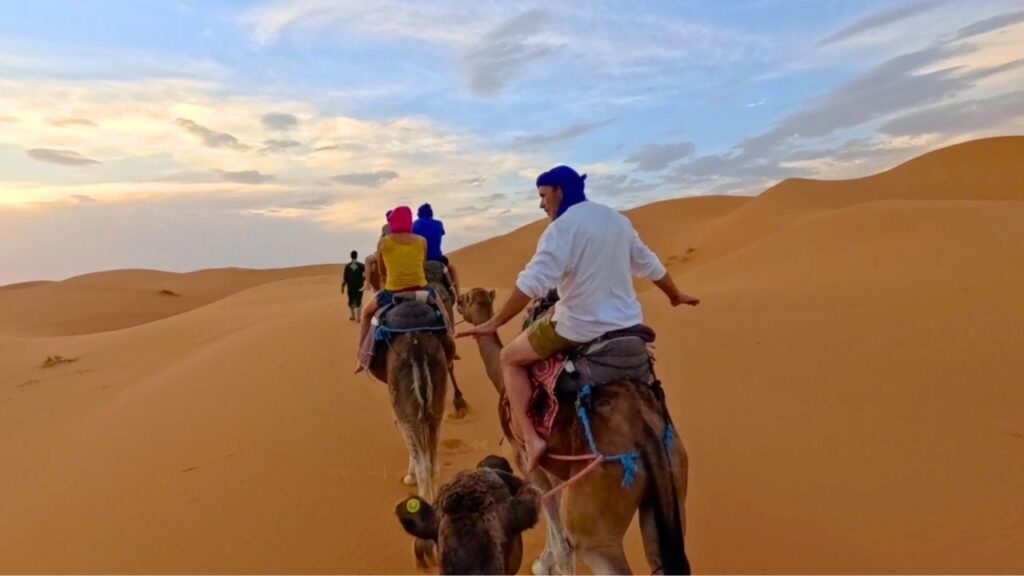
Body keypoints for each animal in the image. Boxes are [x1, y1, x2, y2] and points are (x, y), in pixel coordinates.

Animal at [460, 289, 692, 569]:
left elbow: (556, 529)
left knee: (586, 543)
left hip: (594, 524)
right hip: (673, 484)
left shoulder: (524, 457)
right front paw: (544, 563)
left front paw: (546, 566)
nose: (456, 301)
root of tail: (645, 431)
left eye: (464, 299)